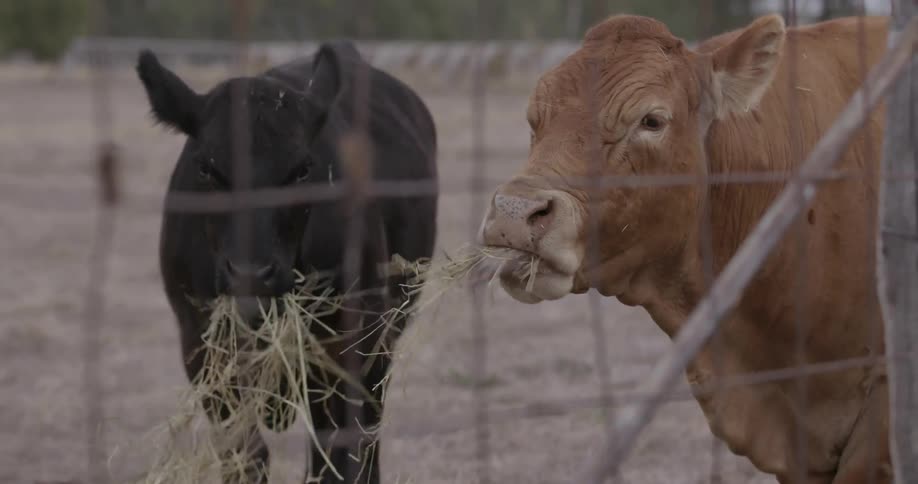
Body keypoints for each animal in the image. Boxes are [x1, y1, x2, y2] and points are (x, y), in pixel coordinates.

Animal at [136, 41, 438, 484]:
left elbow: (335, 454)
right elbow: (246, 455)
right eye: (207, 167)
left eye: (301, 169)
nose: (251, 274)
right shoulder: (202, 346)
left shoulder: (343, 345)